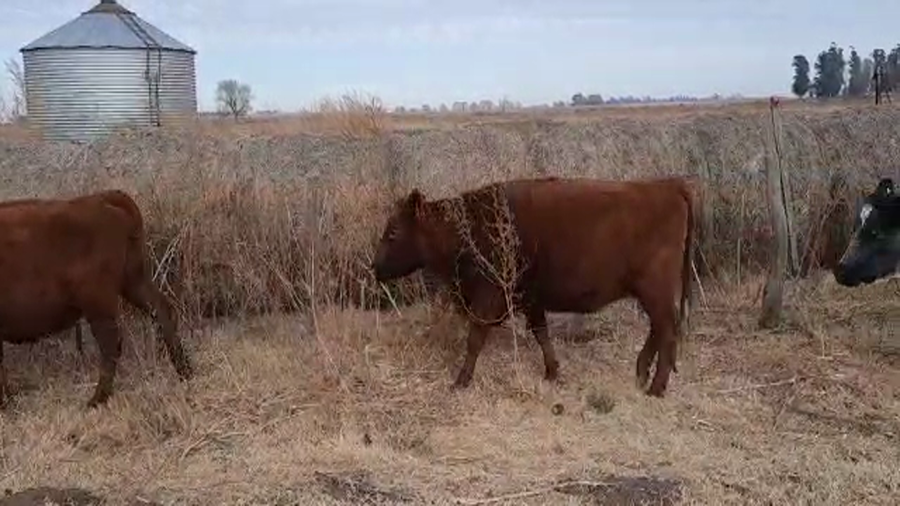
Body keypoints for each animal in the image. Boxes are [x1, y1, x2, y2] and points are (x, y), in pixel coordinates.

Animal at [0, 189, 193, 409]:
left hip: (99, 303)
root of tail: (100, 199)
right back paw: (185, 371)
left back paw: (97, 399)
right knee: (162, 310)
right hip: (134, 282)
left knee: (110, 343)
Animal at [372, 176, 694, 397]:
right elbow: (542, 334)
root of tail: (667, 185)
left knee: (667, 330)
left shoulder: (489, 297)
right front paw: (552, 372)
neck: (469, 227)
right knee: (660, 329)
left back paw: (656, 387)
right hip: (651, 294)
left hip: (655, 290)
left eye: (394, 231)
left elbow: (475, 339)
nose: (375, 268)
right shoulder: (531, 298)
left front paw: (461, 380)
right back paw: (641, 373)